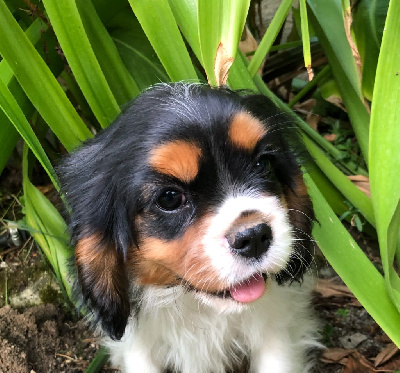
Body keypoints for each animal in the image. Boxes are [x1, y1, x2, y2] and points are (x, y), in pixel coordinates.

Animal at [59, 83, 318, 370]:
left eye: (263, 164)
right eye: (170, 198)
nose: (253, 236)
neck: (199, 306)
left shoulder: (276, 329)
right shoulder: (137, 346)